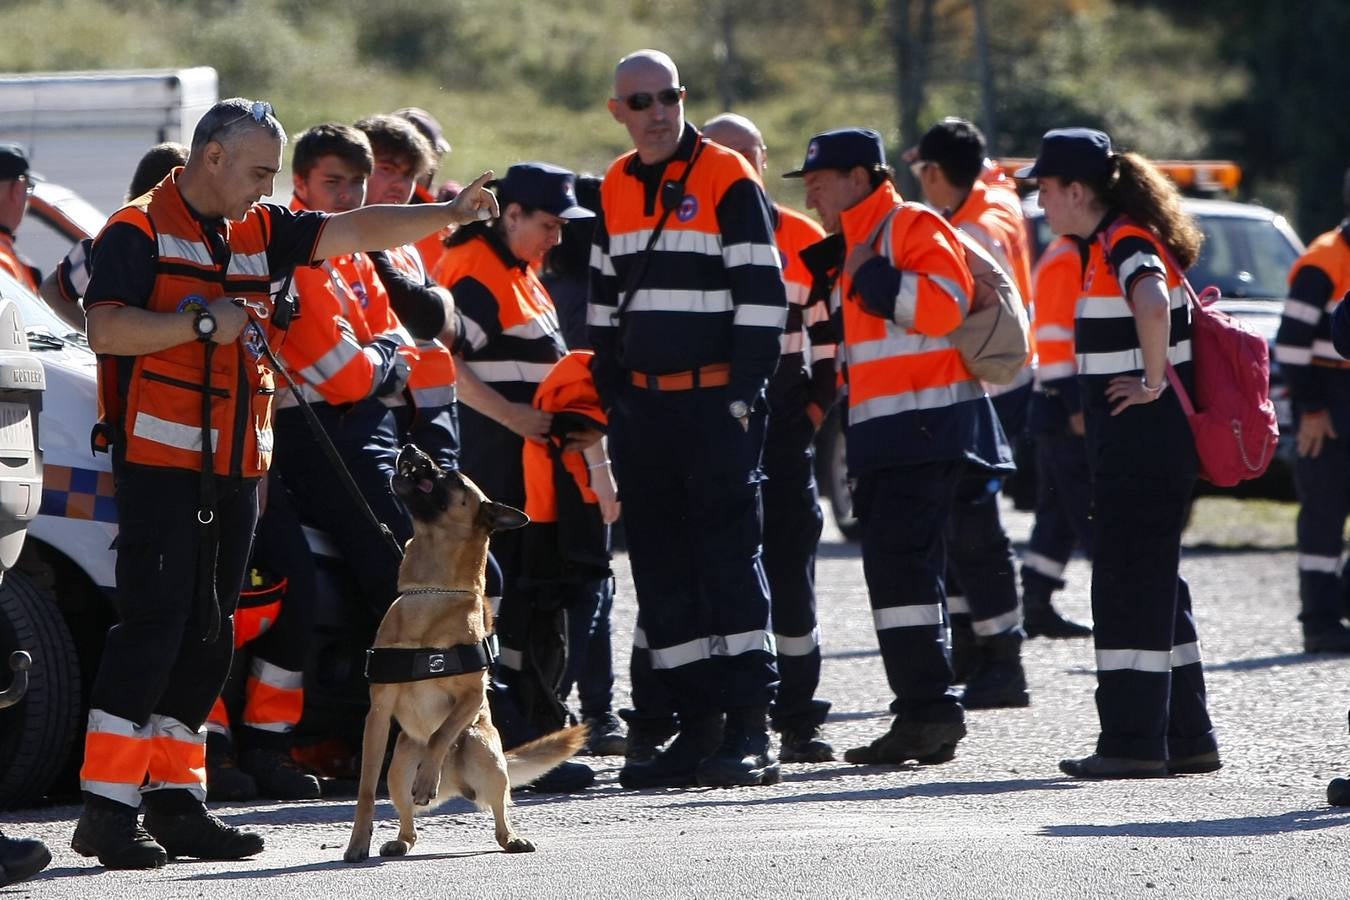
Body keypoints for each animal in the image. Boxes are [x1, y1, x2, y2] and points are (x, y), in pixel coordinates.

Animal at [342, 445, 585, 863]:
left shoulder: (471, 697)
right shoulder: (378, 715)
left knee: (499, 804)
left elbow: (440, 735)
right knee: (408, 820)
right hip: (399, 763)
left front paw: (428, 775)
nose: (410, 448)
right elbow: (365, 789)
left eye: (452, 476)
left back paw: (508, 835)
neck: (432, 592)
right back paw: (400, 839)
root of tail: (456, 785)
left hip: (484, 750)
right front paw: (358, 842)